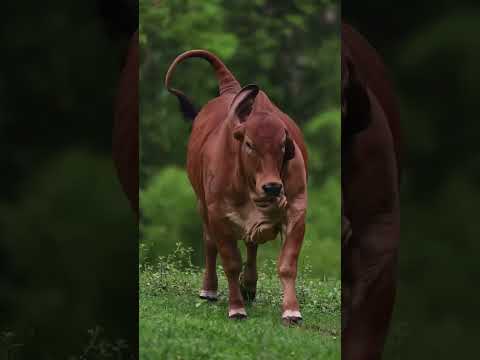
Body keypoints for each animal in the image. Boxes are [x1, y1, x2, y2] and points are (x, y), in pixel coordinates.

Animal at [165, 49, 308, 322]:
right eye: (250, 144)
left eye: (282, 145)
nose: (272, 187)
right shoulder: (217, 215)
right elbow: (230, 262)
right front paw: (236, 307)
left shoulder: (297, 209)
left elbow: (287, 264)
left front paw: (291, 310)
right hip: (202, 206)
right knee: (210, 245)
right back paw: (209, 290)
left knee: (251, 246)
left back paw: (249, 286)